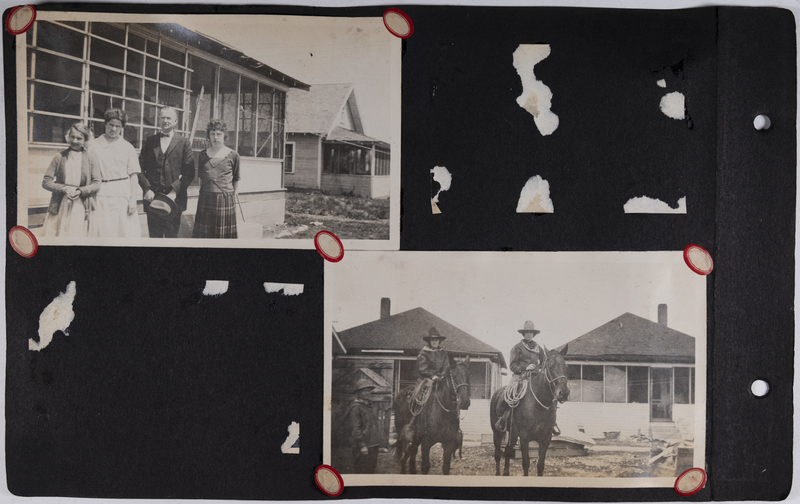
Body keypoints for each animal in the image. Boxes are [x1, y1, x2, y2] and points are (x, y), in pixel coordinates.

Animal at [488, 344, 568, 478]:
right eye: (550, 366)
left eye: (566, 366)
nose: (564, 393)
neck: (539, 405)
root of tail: (496, 394)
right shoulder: (524, 438)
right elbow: (526, 463)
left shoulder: (545, 440)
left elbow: (540, 465)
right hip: (497, 432)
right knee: (498, 454)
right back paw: (498, 473)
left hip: (513, 434)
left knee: (508, 450)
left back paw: (506, 473)